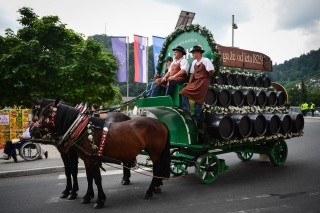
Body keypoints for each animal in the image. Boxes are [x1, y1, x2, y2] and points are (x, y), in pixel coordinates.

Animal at [30, 99, 170, 208]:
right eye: (37, 112)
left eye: (48, 113)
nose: (33, 131)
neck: (81, 129)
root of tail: (160, 122)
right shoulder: (86, 159)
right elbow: (88, 177)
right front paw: (87, 196)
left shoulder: (89, 158)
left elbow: (95, 178)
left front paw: (99, 200)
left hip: (155, 153)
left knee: (156, 169)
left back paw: (150, 191)